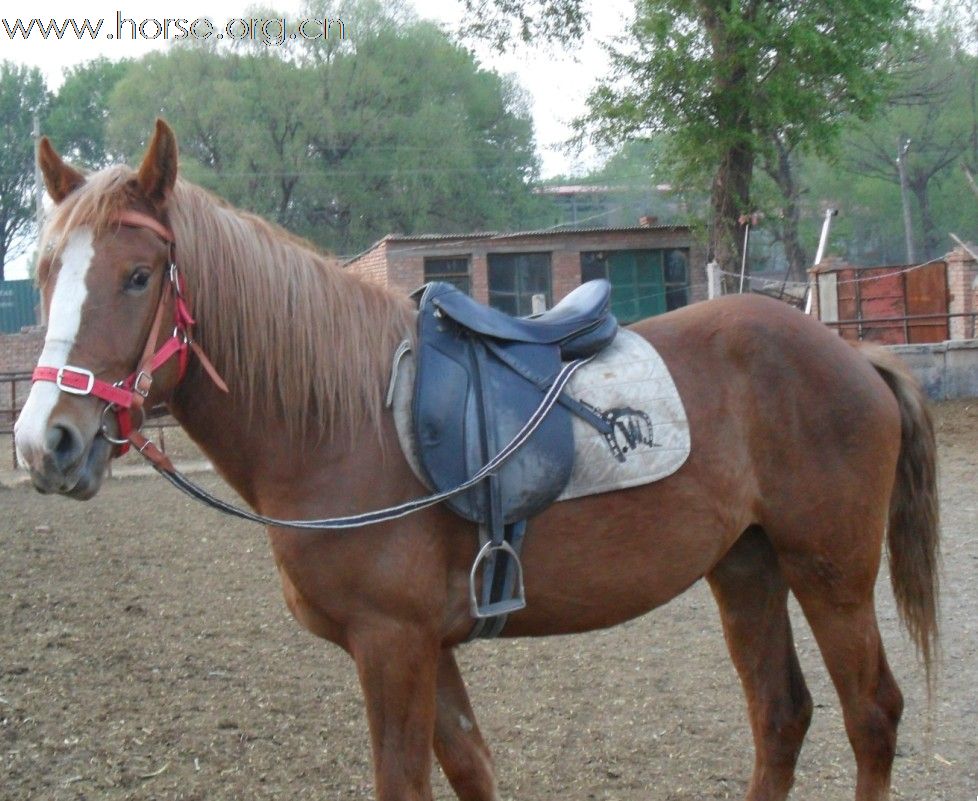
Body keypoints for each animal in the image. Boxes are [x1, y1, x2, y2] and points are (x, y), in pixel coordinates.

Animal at [11, 119, 936, 800]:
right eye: (47, 273)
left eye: (138, 275)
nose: (45, 441)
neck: (339, 424)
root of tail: (852, 356)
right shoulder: (427, 645)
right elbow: (470, 766)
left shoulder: (391, 644)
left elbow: (406, 780)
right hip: (747, 565)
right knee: (781, 715)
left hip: (828, 572)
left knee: (873, 715)